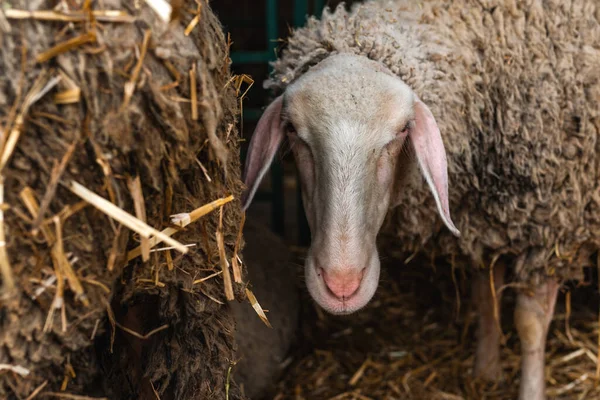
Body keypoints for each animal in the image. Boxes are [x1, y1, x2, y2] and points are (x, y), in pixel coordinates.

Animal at [240, 1, 600, 398]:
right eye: (292, 130)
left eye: (401, 131)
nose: (341, 285)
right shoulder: (481, 221)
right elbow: (484, 296)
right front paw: (485, 372)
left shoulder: (553, 227)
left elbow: (530, 324)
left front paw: (530, 389)